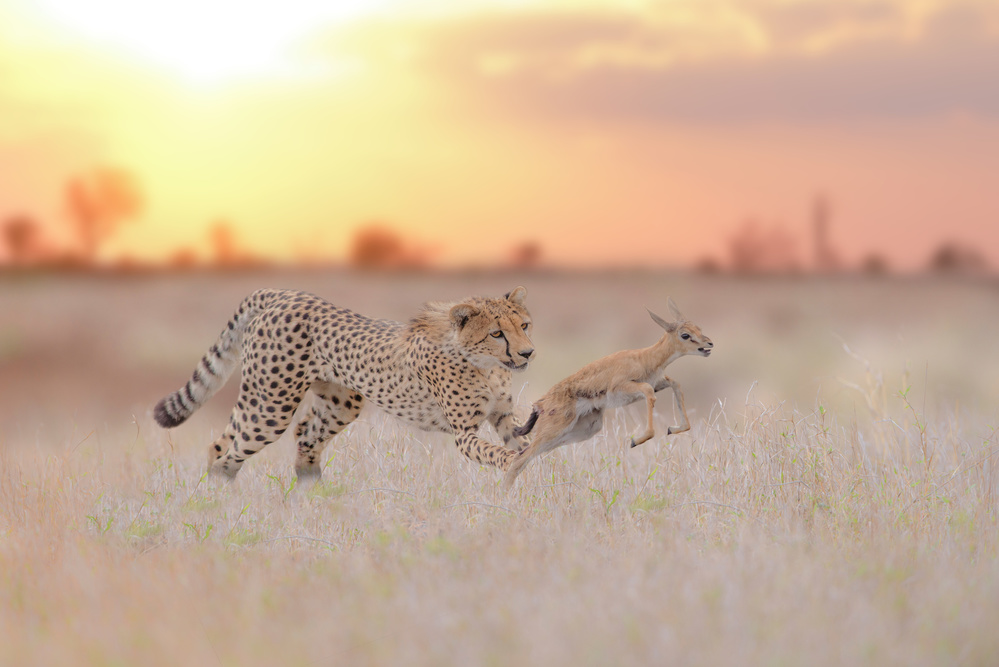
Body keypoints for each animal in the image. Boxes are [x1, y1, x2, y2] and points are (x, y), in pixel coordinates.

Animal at [151, 288, 536, 480]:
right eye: (497, 333)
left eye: (524, 326)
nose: (528, 353)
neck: (487, 366)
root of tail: (284, 295)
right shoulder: (463, 433)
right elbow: (494, 451)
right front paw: (512, 464)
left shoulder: (504, 417)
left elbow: (525, 439)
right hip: (271, 407)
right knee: (227, 455)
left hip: (338, 404)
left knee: (295, 439)